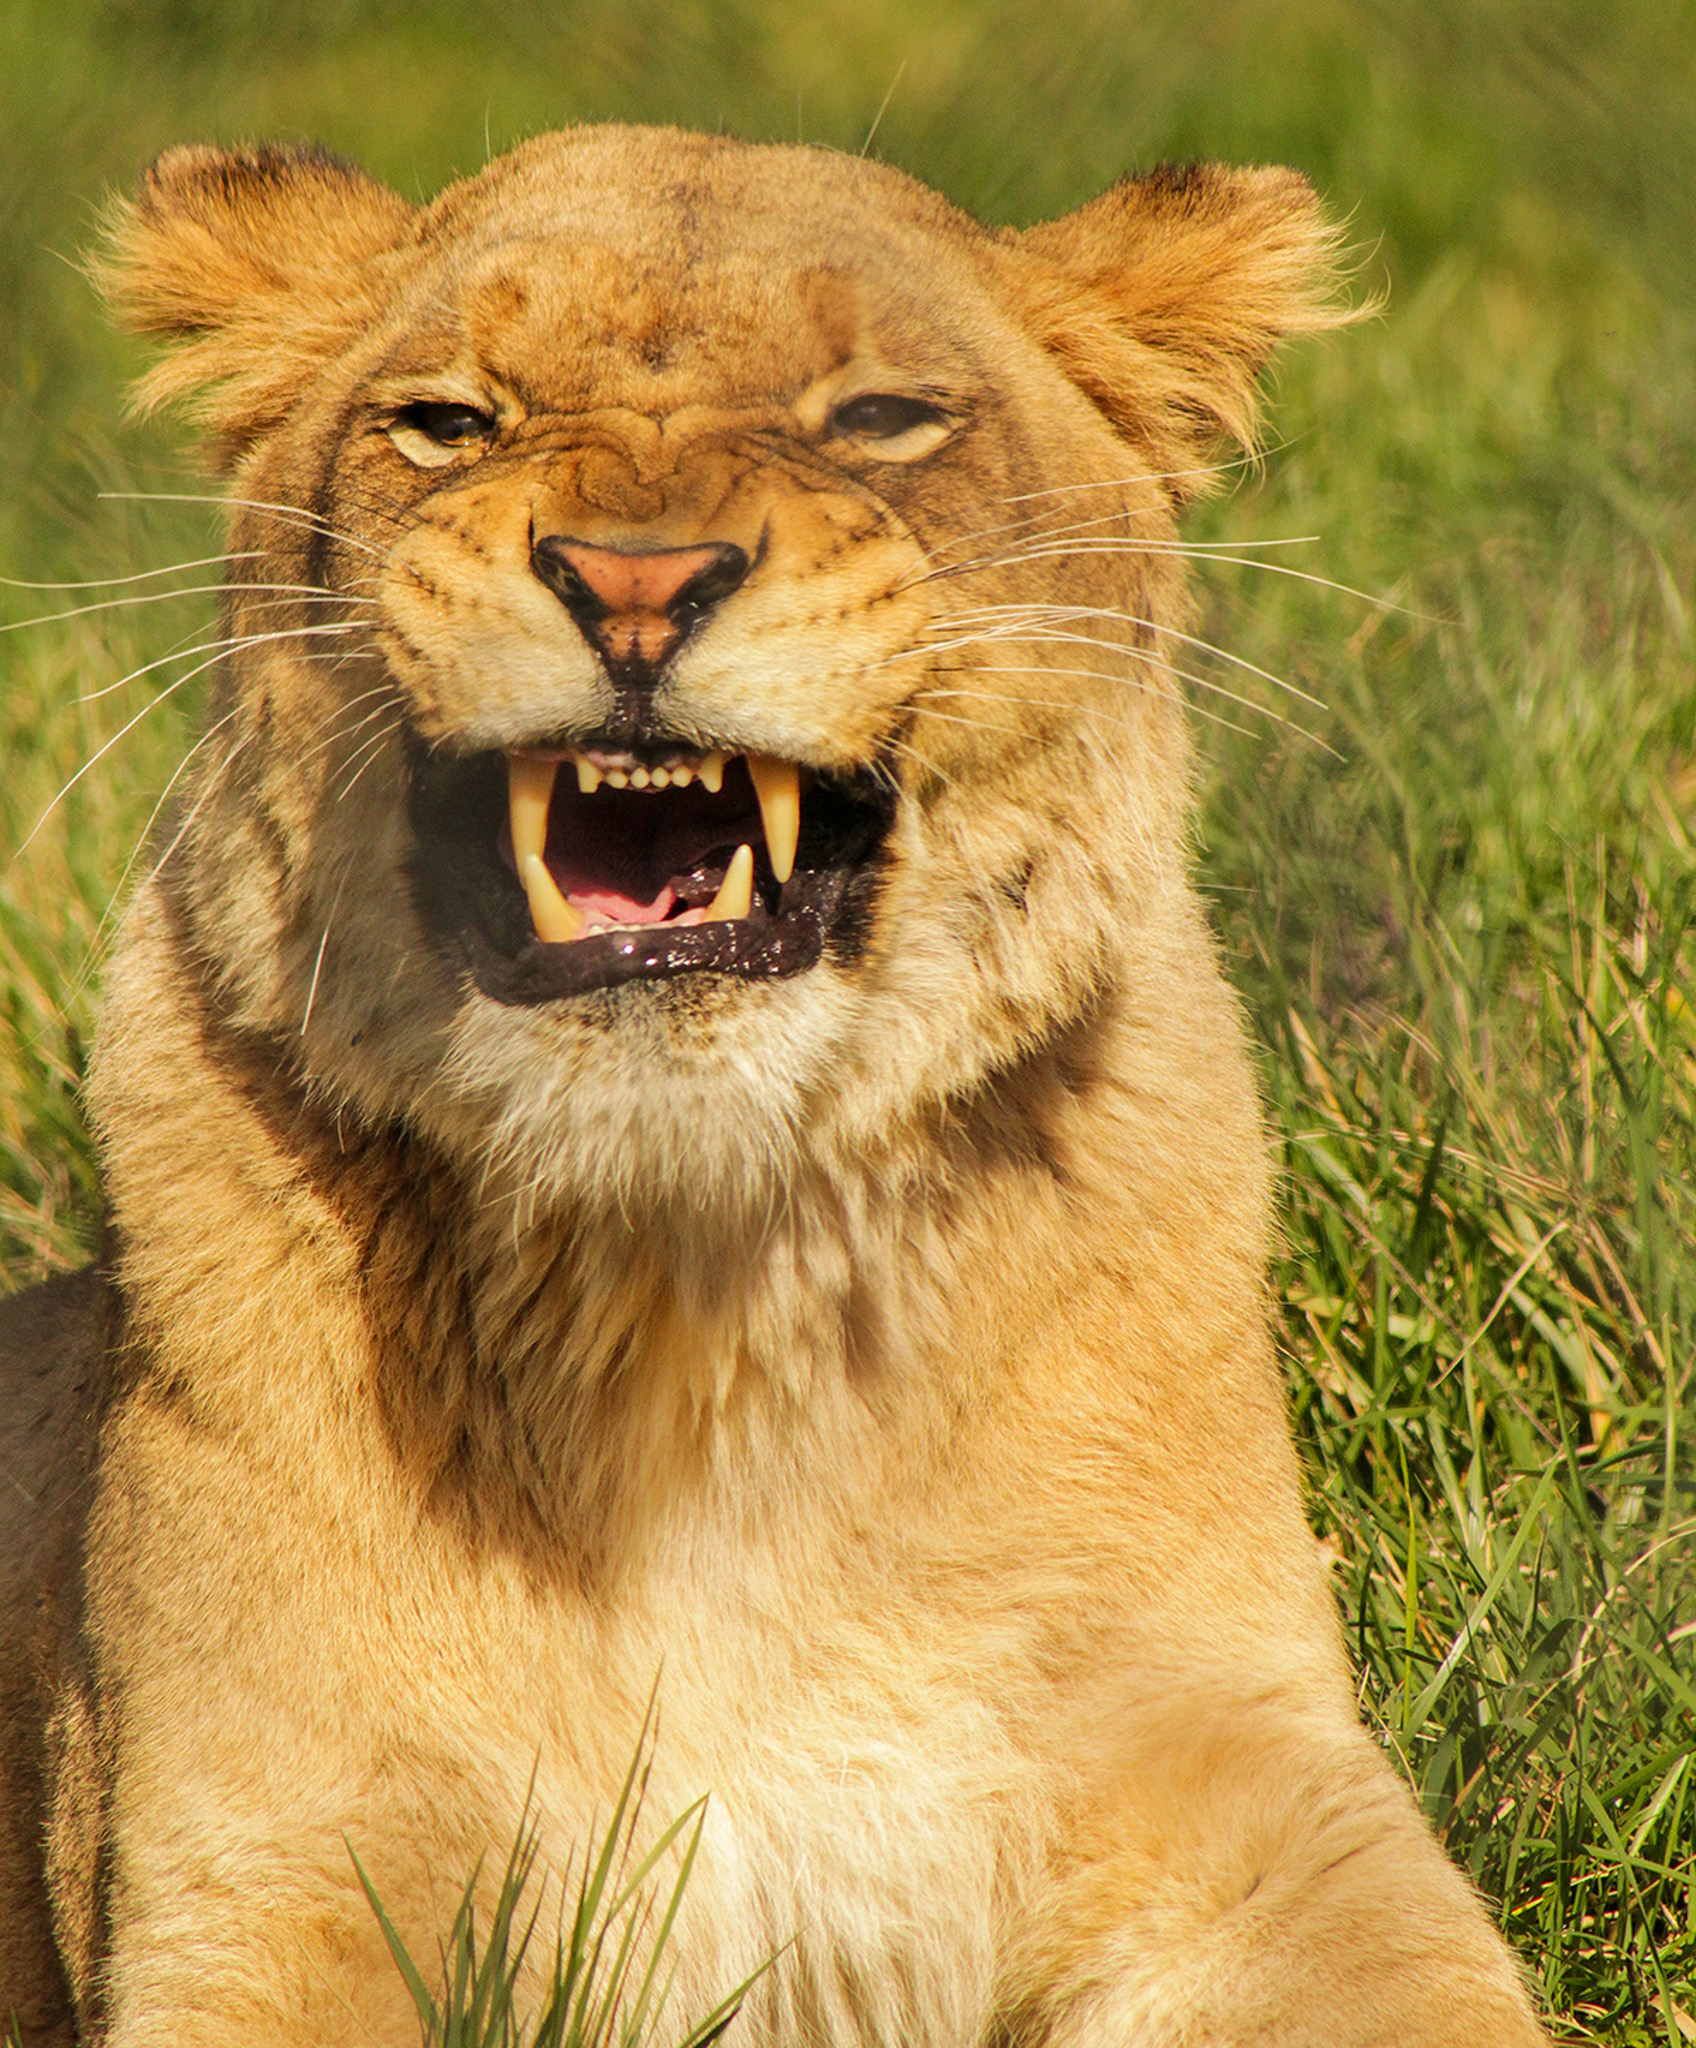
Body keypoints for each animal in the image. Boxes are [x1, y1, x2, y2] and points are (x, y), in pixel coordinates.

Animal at [0, 132, 1548, 2048]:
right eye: (446, 421)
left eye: (879, 415)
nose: (631, 582)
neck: (694, 1302)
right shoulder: (261, 1870)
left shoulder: (1261, 1804)